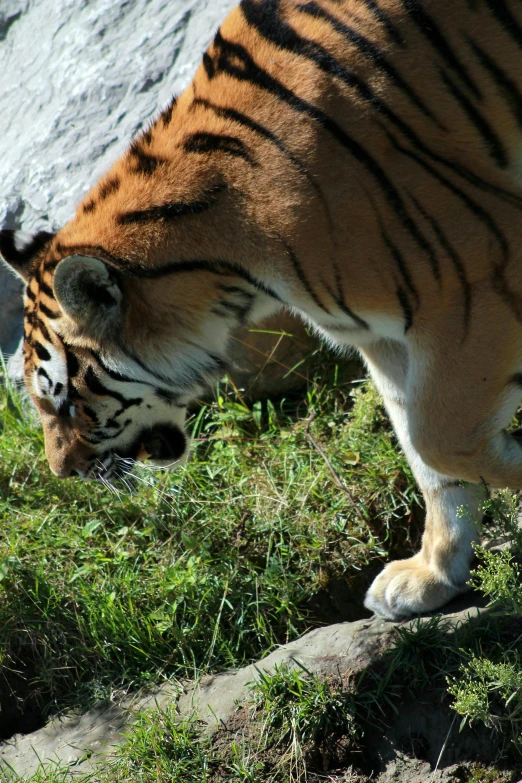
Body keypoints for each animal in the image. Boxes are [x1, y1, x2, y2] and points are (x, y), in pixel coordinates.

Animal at [3, 0, 520, 624]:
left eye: (66, 401)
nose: (63, 473)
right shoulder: (385, 335)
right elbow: (429, 458)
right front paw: (431, 575)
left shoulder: (474, 275)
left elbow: (438, 437)